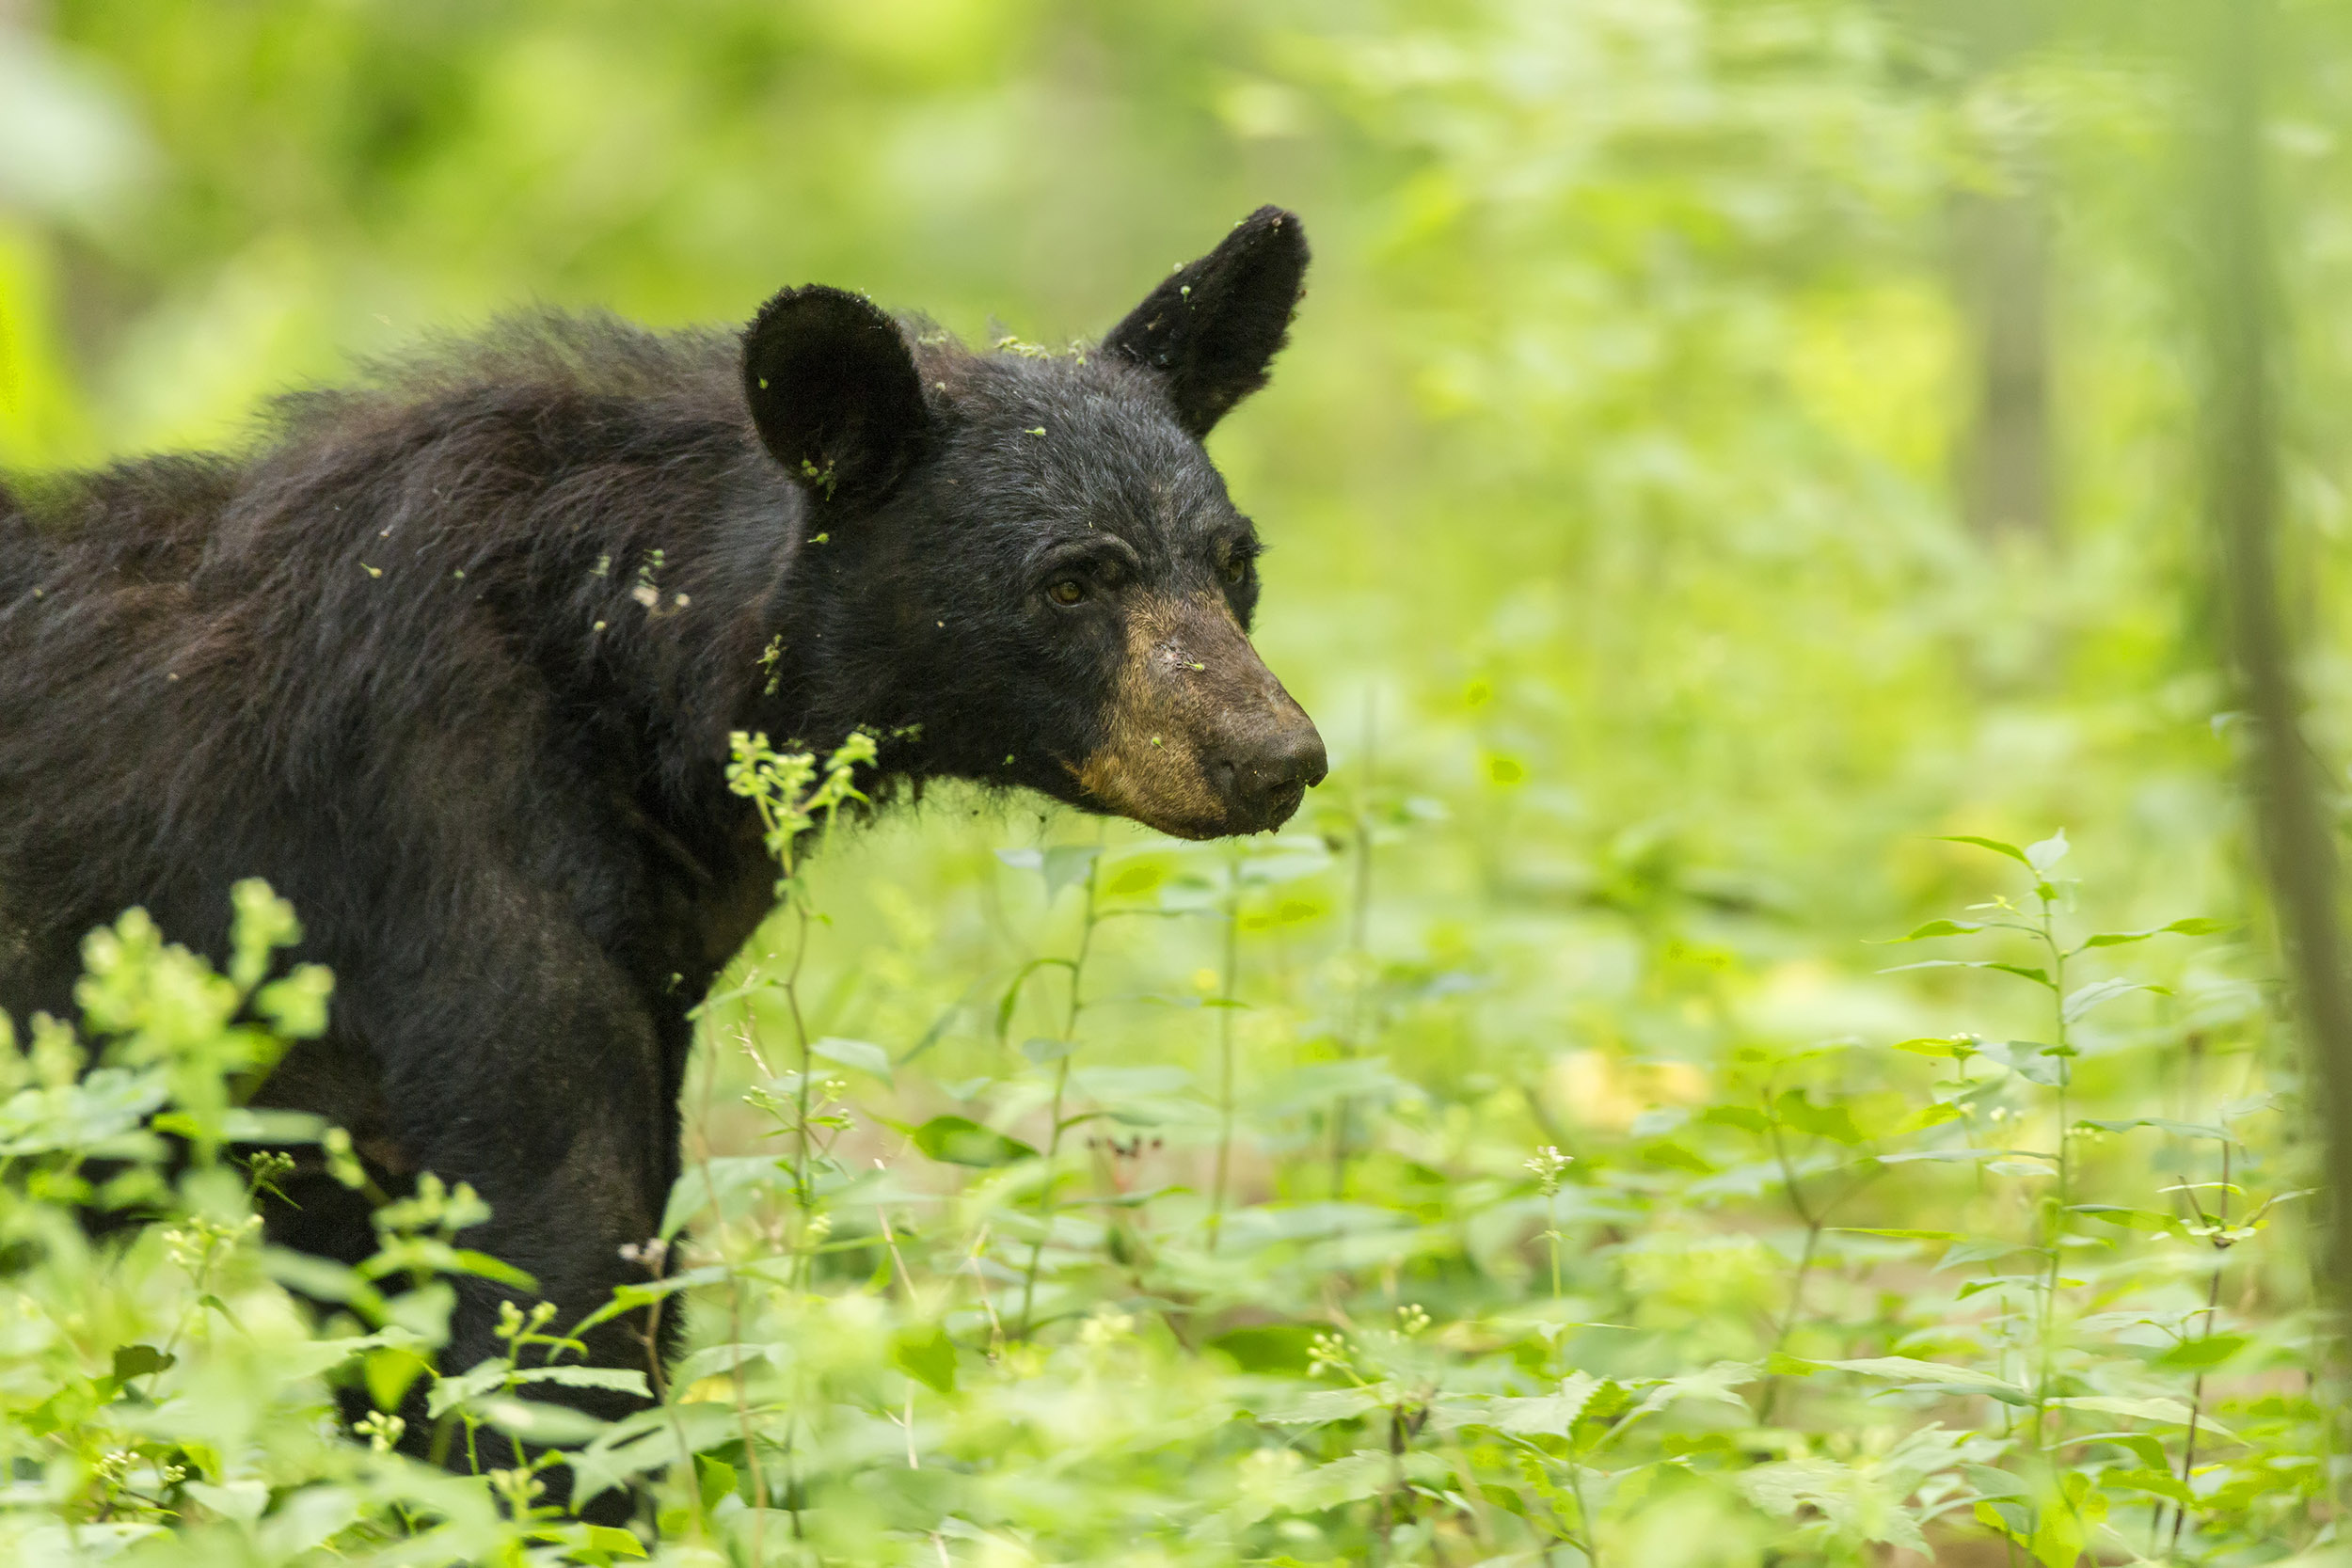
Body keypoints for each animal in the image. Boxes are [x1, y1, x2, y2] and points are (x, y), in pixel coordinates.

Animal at [0, 206, 1325, 1515]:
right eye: (1070, 581)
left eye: (1234, 560)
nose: (1277, 756)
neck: (627, 678)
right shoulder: (443, 848)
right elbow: (552, 1277)